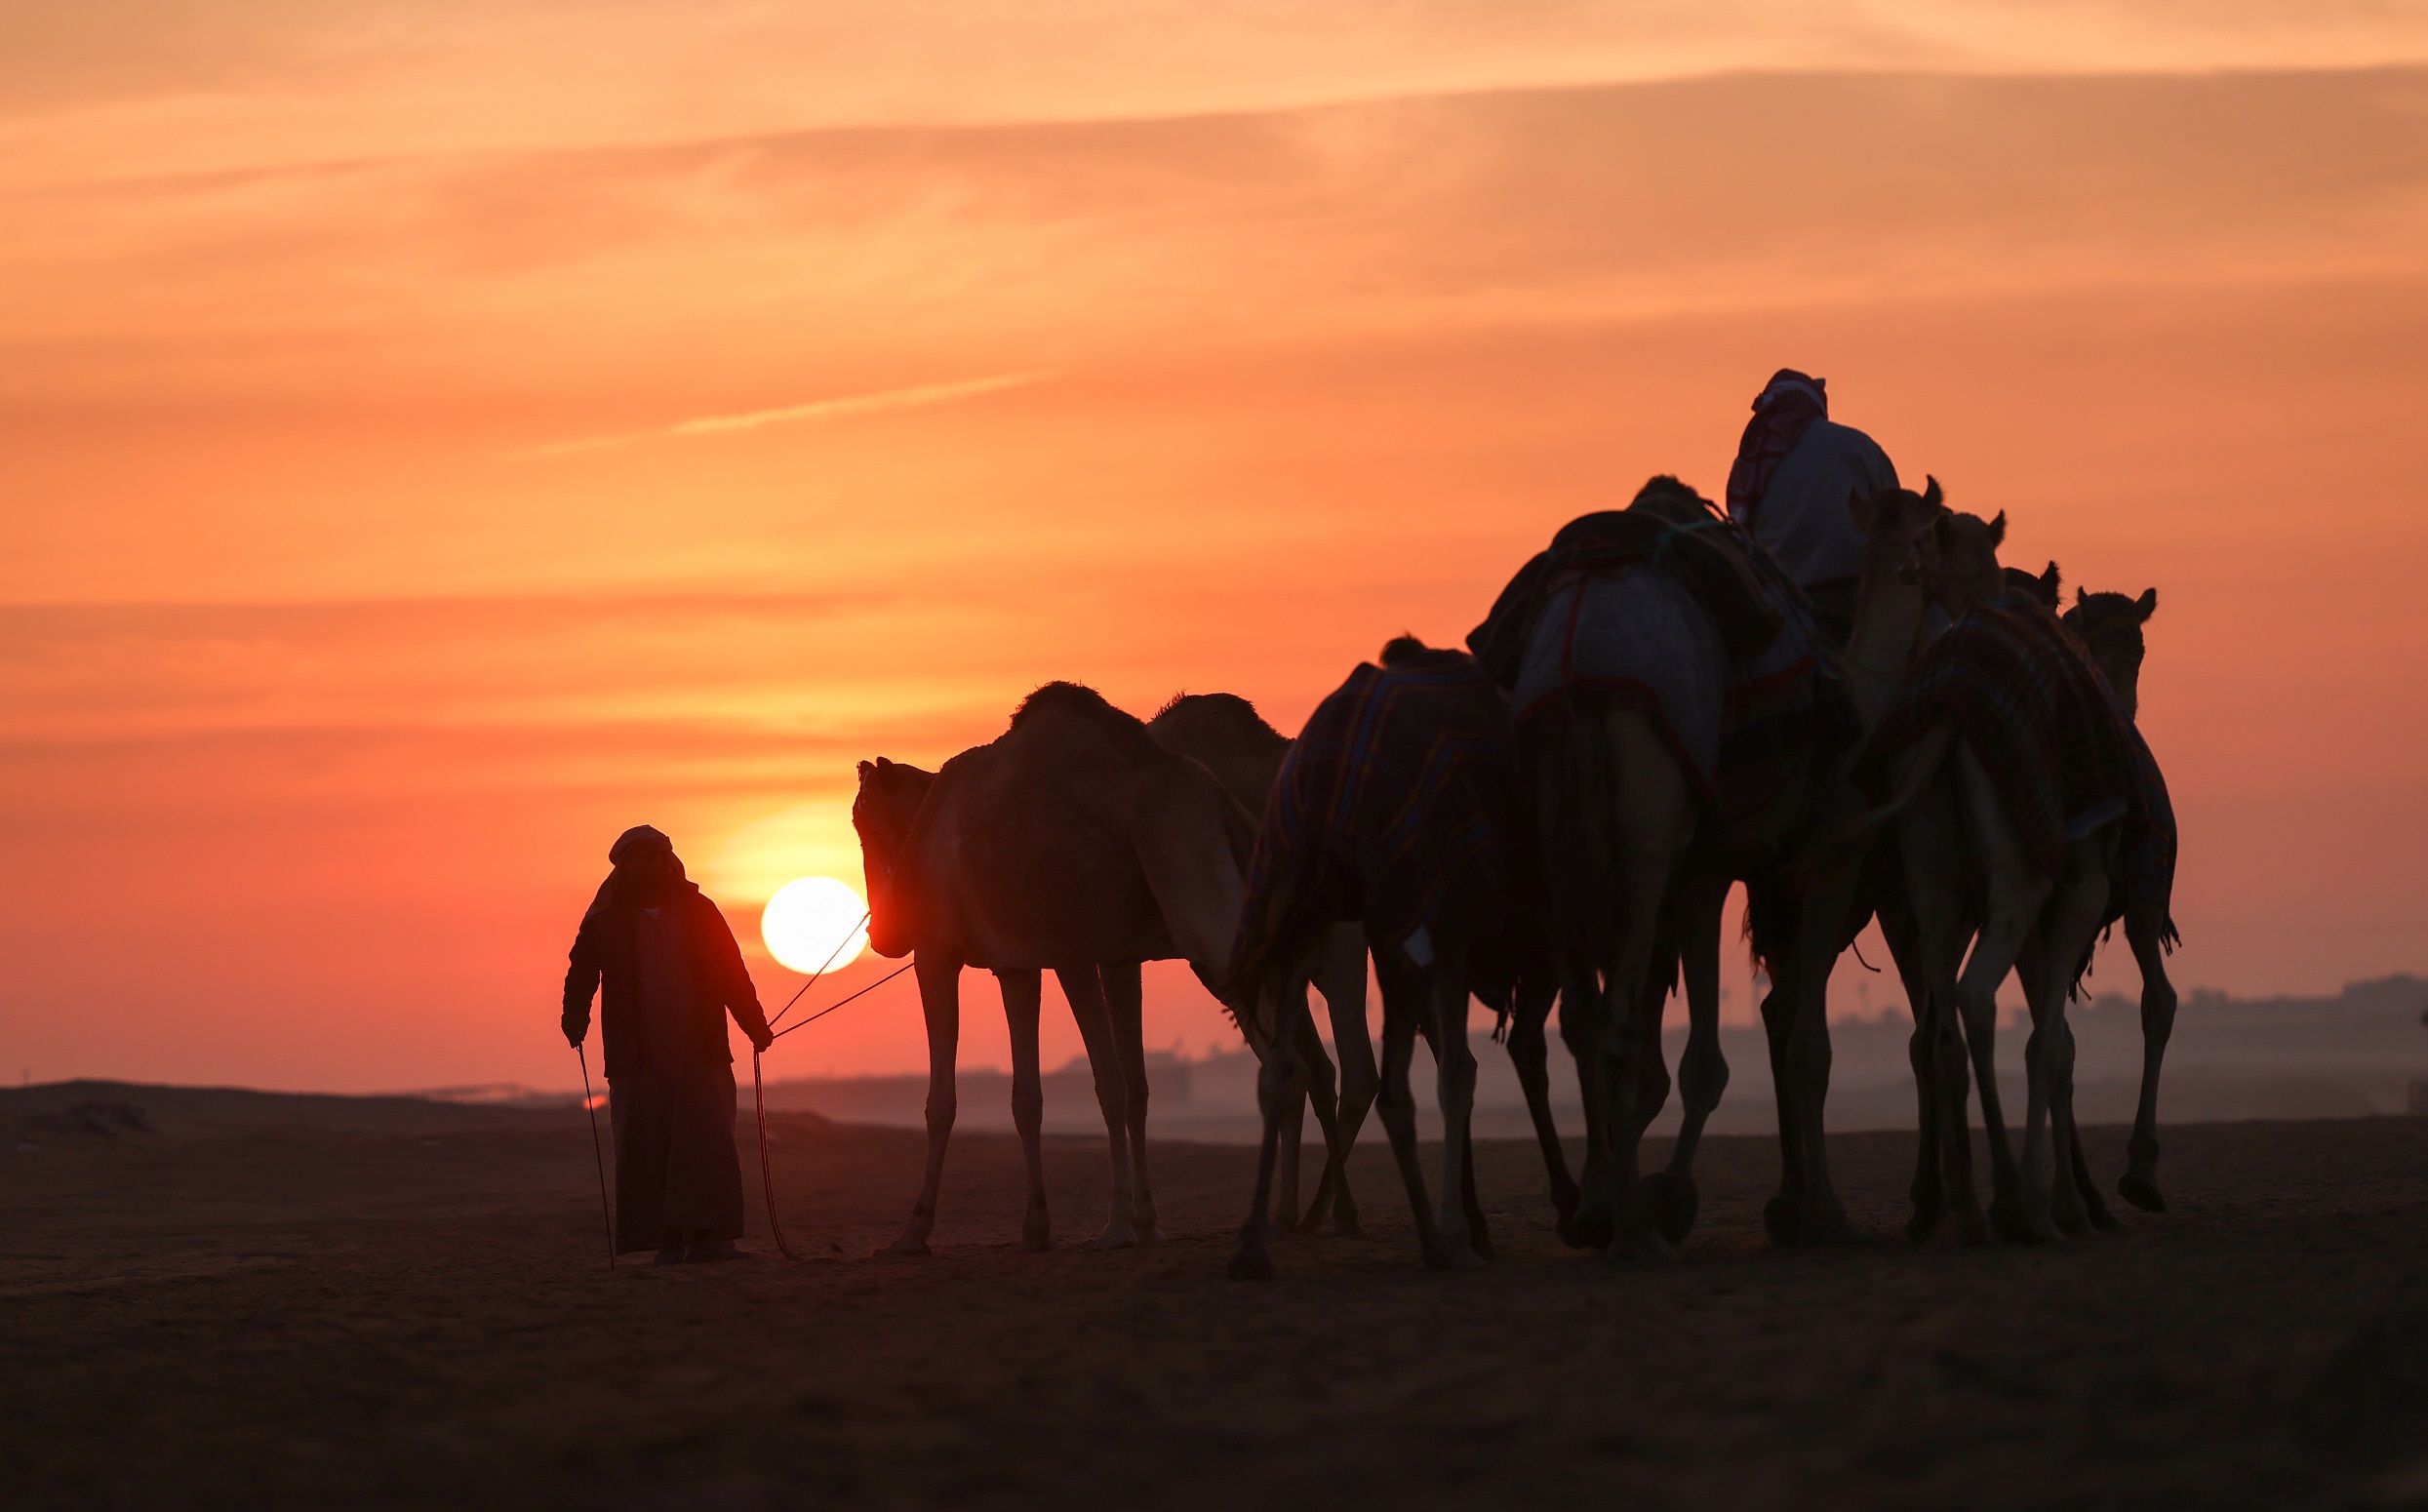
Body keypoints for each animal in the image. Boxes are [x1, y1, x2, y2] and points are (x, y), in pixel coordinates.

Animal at [855, 684, 1262, 1252]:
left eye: (863, 821)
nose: (883, 934)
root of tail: (1222, 805)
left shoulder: (943, 953)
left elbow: (943, 1102)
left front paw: (913, 1231)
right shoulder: (1021, 966)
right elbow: (1033, 1098)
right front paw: (1040, 1226)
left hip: (1200, 903)